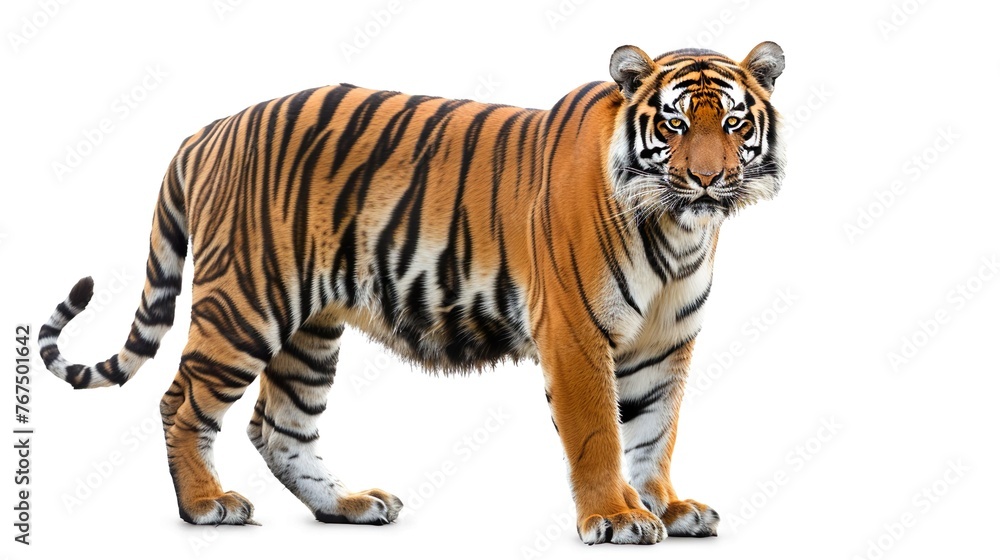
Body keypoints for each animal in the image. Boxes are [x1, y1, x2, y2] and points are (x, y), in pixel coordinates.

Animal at [39, 42, 785, 544]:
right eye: (675, 125)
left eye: (734, 124)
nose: (709, 179)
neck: (679, 229)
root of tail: (209, 130)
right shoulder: (576, 334)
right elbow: (601, 432)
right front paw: (615, 517)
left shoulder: (665, 344)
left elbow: (655, 430)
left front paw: (666, 507)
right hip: (246, 305)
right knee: (182, 403)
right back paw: (206, 505)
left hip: (309, 328)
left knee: (278, 425)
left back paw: (347, 506)